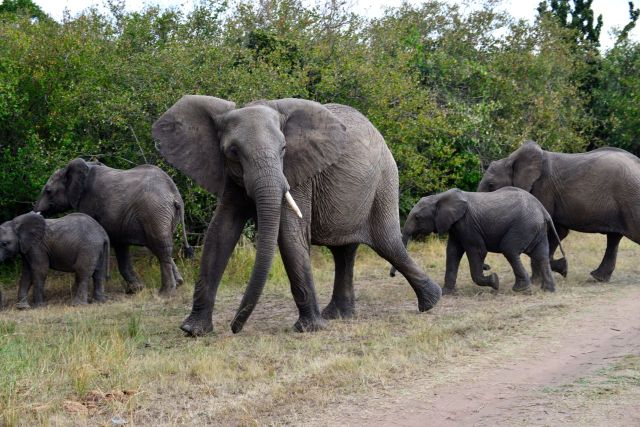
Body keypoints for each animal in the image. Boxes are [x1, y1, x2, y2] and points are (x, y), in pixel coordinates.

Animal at [34, 158, 192, 297]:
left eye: (48, 191)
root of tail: (175, 195)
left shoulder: (89, 202)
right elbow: (121, 245)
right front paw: (136, 290)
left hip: (154, 212)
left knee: (161, 247)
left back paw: (165, 293)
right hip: (162, 216)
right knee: (161, 245)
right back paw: (179, 283)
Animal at [152, 95, 442, 335]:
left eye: (283, 149)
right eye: (233, 152)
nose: (235, 327)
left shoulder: (298, 175)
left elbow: (290, 235)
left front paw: (309, 329)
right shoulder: (230, 177)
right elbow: (220, 233)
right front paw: (193, 331)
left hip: (383, 181)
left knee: (386, 242)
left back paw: (431, 302)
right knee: (344, 252)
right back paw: (338, 315)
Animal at [391, 187, 566, 294]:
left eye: (417, 217)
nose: (392, 275)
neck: (440, 197)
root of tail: (542, 209)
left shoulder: (467, 224)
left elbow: (477, 251)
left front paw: (494, 281)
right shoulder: (456, 225)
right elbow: (452, 252)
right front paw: (447, 293)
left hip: (524, 225)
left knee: (509, 249)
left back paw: (520, 290)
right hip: (536, 228)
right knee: (541, 255)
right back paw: (547, 290)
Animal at [478, 140, 640, 282]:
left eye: (491, 185)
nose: (488, 268)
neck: (511, 160)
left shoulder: (543, 188)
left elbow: (546, 230)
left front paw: (537, 281)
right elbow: (559, 231)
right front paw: (560, 268)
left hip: (630, 198)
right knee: (613, 238)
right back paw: (598, 278)